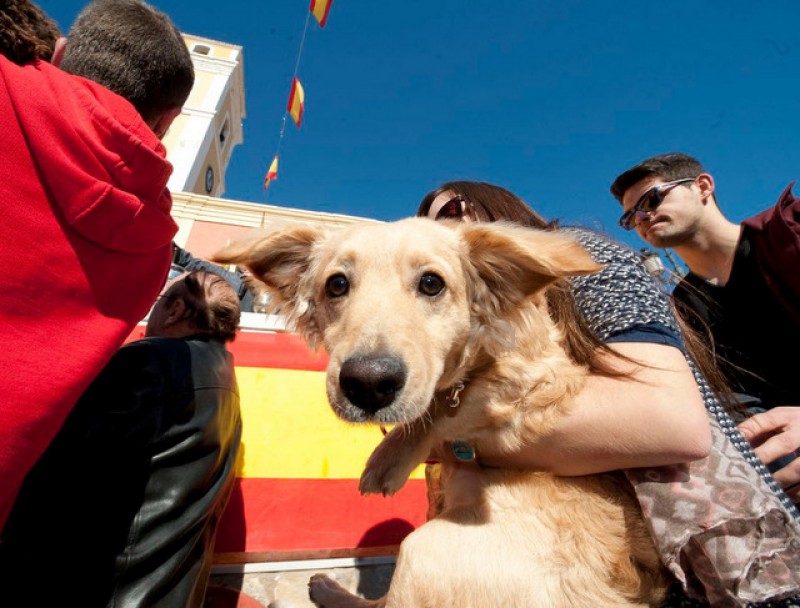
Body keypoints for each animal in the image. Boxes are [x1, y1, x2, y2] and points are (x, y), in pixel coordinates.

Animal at [214, 218, 668, 608]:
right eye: (336, 284)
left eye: (431, 283)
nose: (367, 384)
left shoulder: (542, 379)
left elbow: (449, 407)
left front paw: (390, 456)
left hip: (424, 549)